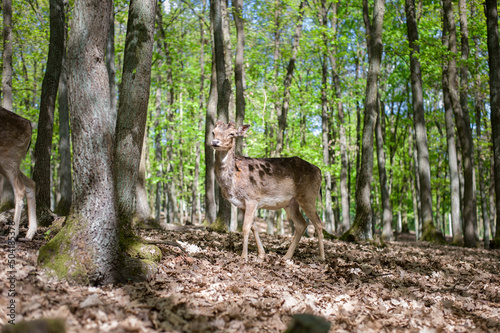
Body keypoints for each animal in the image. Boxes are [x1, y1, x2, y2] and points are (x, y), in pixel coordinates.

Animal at [0, 106, 37, 239]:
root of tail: (29, 124)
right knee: (31, 183)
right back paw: (30, 233)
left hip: (9, 156)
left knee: (20, 188)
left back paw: (12, 234)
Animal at [210, 119, 324, 260]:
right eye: (213, 132)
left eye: (232, 133)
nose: (215, 142)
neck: (234, 180)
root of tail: (319, 171)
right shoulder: (242, 204)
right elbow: (254, 227)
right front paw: (261, 255)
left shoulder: (252, 198)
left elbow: (245, 227)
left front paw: (244, 257)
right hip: (291, 203)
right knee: (301, 224)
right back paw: (286, 256)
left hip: (308, 195)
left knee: (318, 223)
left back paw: (322, 257)